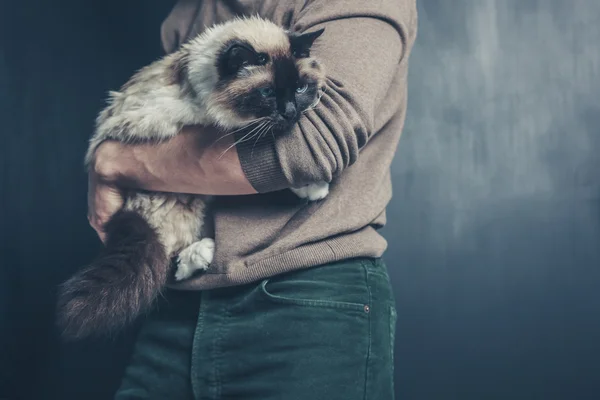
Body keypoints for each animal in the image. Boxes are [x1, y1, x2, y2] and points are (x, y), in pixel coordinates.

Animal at [55, 16, 328, 340]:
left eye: (300, 88)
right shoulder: (174, 126)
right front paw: (314, 187)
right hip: (180, 199)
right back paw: (203, 253)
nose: (290, 113)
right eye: (267, 93)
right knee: (168, 259)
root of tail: (128, 212)